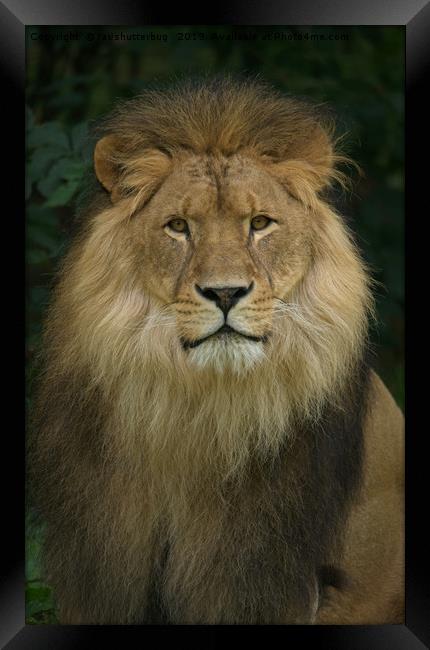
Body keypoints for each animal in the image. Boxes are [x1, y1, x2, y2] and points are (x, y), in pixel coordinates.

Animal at [29, 77, 404, 624]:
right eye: (179, 226)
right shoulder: (102, 565)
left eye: (261, 223)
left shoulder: (263, 575)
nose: (225, 293)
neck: (199, 414)